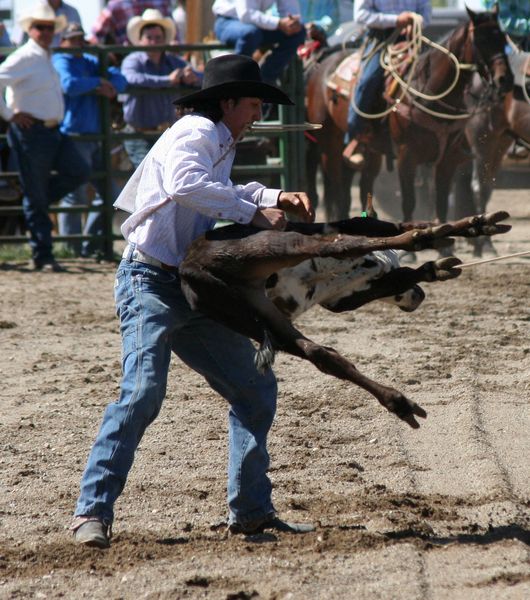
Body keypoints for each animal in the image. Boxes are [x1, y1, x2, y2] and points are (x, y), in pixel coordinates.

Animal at [179, 211, 510, 426]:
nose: (418, 299)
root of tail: (192, 265)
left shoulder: (344, 300)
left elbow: (400, 274)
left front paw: (437, 266)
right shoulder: (359, 238)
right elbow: (391, 240)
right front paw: (471, 228)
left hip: (257, 315)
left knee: (322, 355)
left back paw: (399, 403)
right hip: (281, 246)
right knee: (345, 245)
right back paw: (433, 235)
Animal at [306, 7, 512, 225]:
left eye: (503, 39)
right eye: (480, 40)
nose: (505, 79)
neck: (428, 90)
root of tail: (322, 65)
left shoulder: (447, 160)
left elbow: (441, 204)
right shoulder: (407, 157)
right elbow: (409, 203)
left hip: (370, 151)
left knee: (359, 187)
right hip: (330, 144)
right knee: (337, 188)